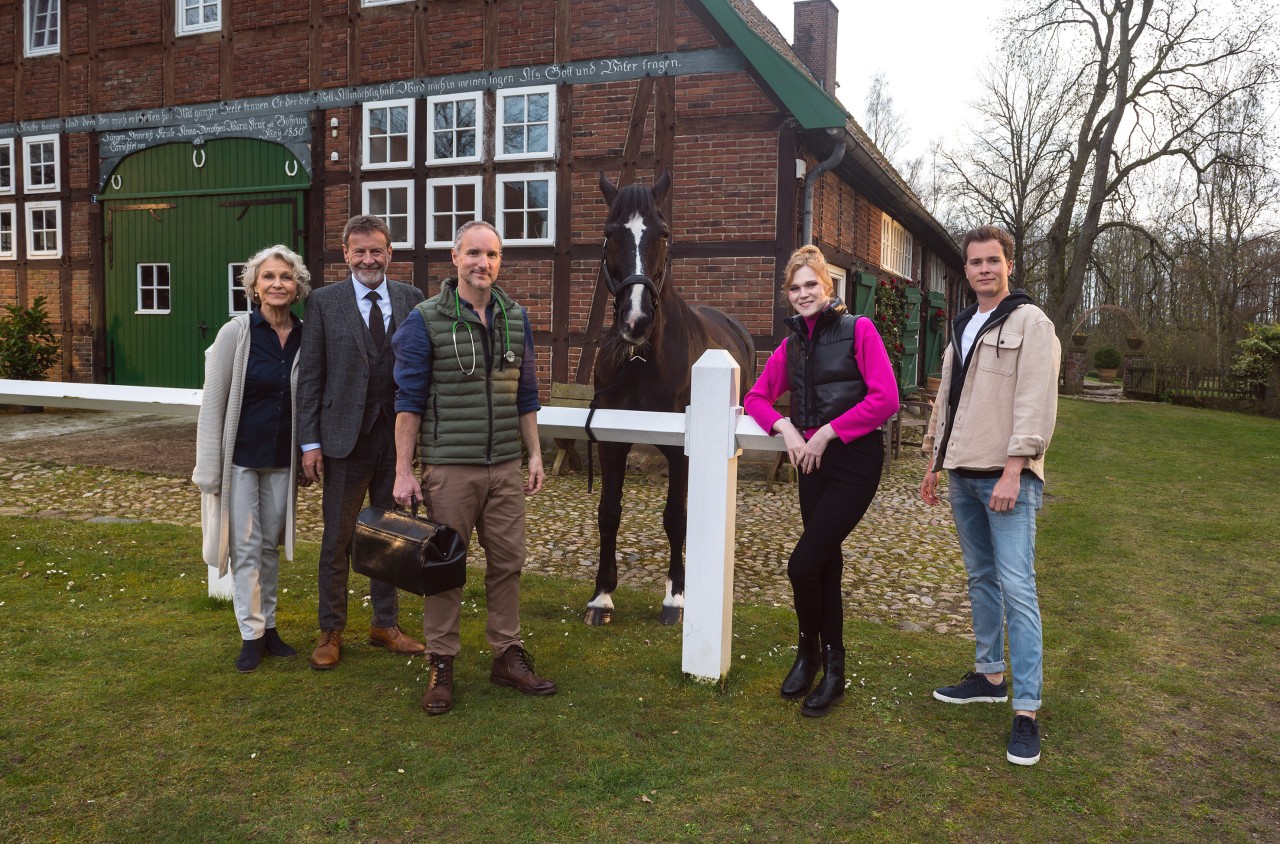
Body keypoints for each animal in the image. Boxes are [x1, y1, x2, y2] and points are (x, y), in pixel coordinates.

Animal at [586, 167, 752, 624]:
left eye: (662, 233)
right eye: (610, 234)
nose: (636, 320)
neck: (643, 360)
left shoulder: (681, 451)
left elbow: (676, 517)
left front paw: (676, 596)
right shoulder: (611, 442)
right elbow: (609, 513)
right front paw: (602, 595)